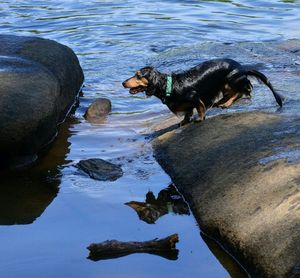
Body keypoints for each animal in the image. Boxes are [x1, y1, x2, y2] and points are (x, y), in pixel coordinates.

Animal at [122, 59, 284, 125]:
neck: (169, 85)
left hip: (230, 80)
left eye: (138, 75)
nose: (123, 83)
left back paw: (225, 103)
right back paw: (221, 101)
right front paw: (184, 121)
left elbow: (199, 107)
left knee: (241, 92)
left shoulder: (195, 97)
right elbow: (187, 112)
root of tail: (242, 68)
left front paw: (199, 119)